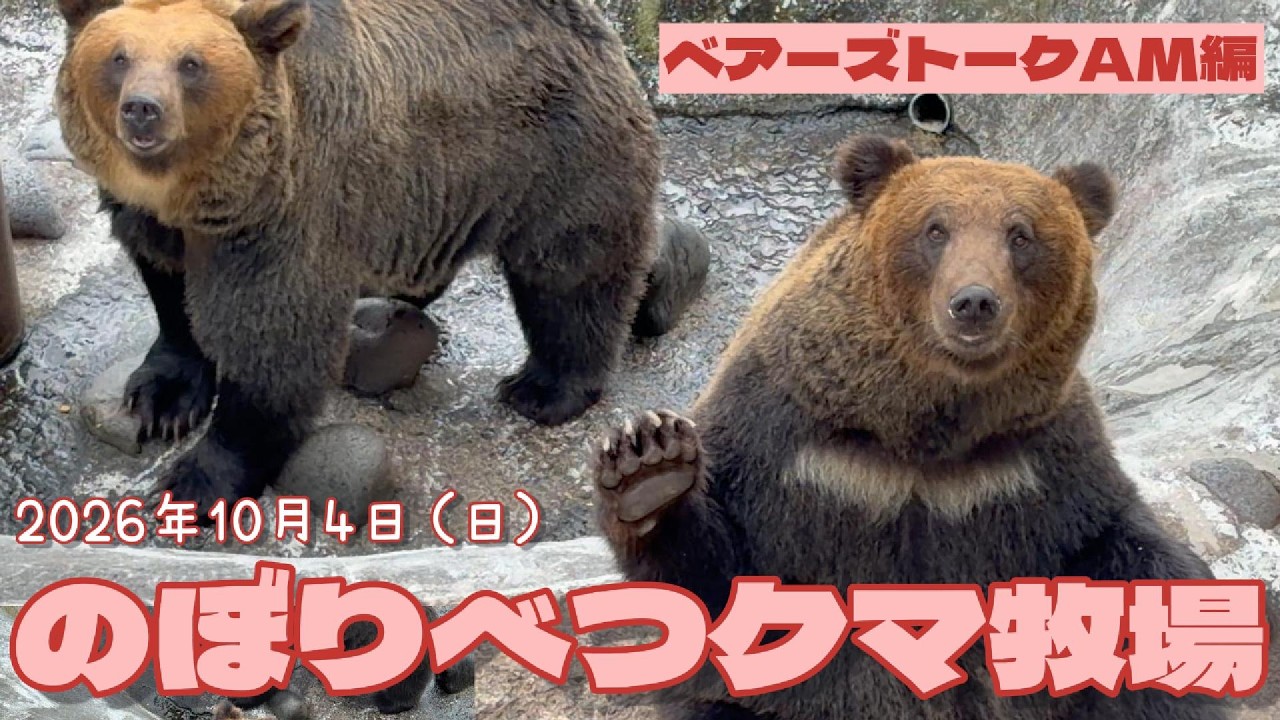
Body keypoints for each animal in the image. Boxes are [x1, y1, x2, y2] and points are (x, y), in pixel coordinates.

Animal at [55, 0, 667, 512]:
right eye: (118, 56)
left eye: (191, 64)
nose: (143, 110)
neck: (199, 194)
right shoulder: (151, 218)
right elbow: (170, 292)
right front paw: (163, 399)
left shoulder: (284, 211)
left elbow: (271, 339)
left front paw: (197, 478)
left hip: (548, 149)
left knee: (569, 275)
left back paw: (544, 388)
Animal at [589, 135, 1238, 719]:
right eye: (935, 229)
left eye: (1021, 235)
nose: (974, 302)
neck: (919, 437)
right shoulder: (788, 445)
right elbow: (722, 571)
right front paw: (649, 465)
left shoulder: (1032, 465)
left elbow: (1113, 544)